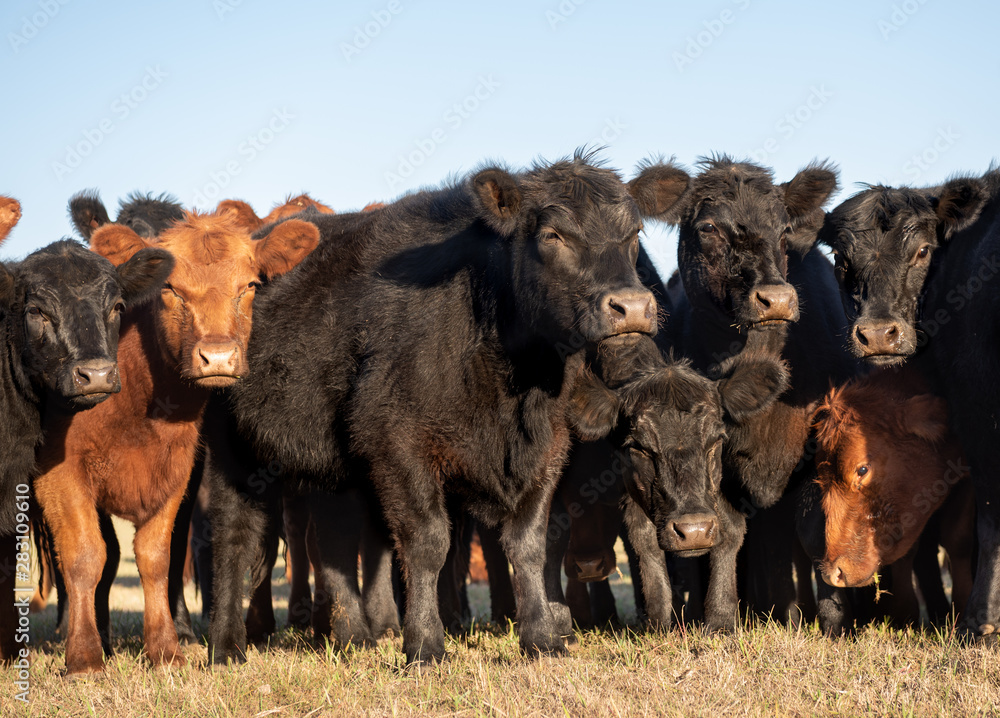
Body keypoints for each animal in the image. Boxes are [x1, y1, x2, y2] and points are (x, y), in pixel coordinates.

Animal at [31, 209, 318, 675]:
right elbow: (85, 557)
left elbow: (155, 558)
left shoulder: (174, 475)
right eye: (170, 288)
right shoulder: (61, 476)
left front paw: (165, 649)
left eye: (249, 286)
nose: (217, 357)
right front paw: (86, 656)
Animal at [204, 151, 685, 665]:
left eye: (634, 232)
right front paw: (424, 644)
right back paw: (226, 646)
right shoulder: (398, 444)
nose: (632, 307)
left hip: (332, 464)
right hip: (232, 449)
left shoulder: (548, 447)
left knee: (333, 542)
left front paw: (541, 639)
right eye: (553, 235)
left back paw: (354, 636)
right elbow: (427, 543)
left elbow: (529, 543)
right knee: (233, 537)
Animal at [628, 156, 852, 630]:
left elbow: (818, 530)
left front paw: (834, 624)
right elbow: (726, 529)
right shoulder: (718, 456)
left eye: (784, 229)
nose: (777, 298)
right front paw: (718, 617)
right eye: (709, 227)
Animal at [813, 365, 975, 624]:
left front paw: (961, 608)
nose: (833, 574)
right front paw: (903, 615)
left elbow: (957, 541)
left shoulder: (967, 481)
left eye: (862, 470)